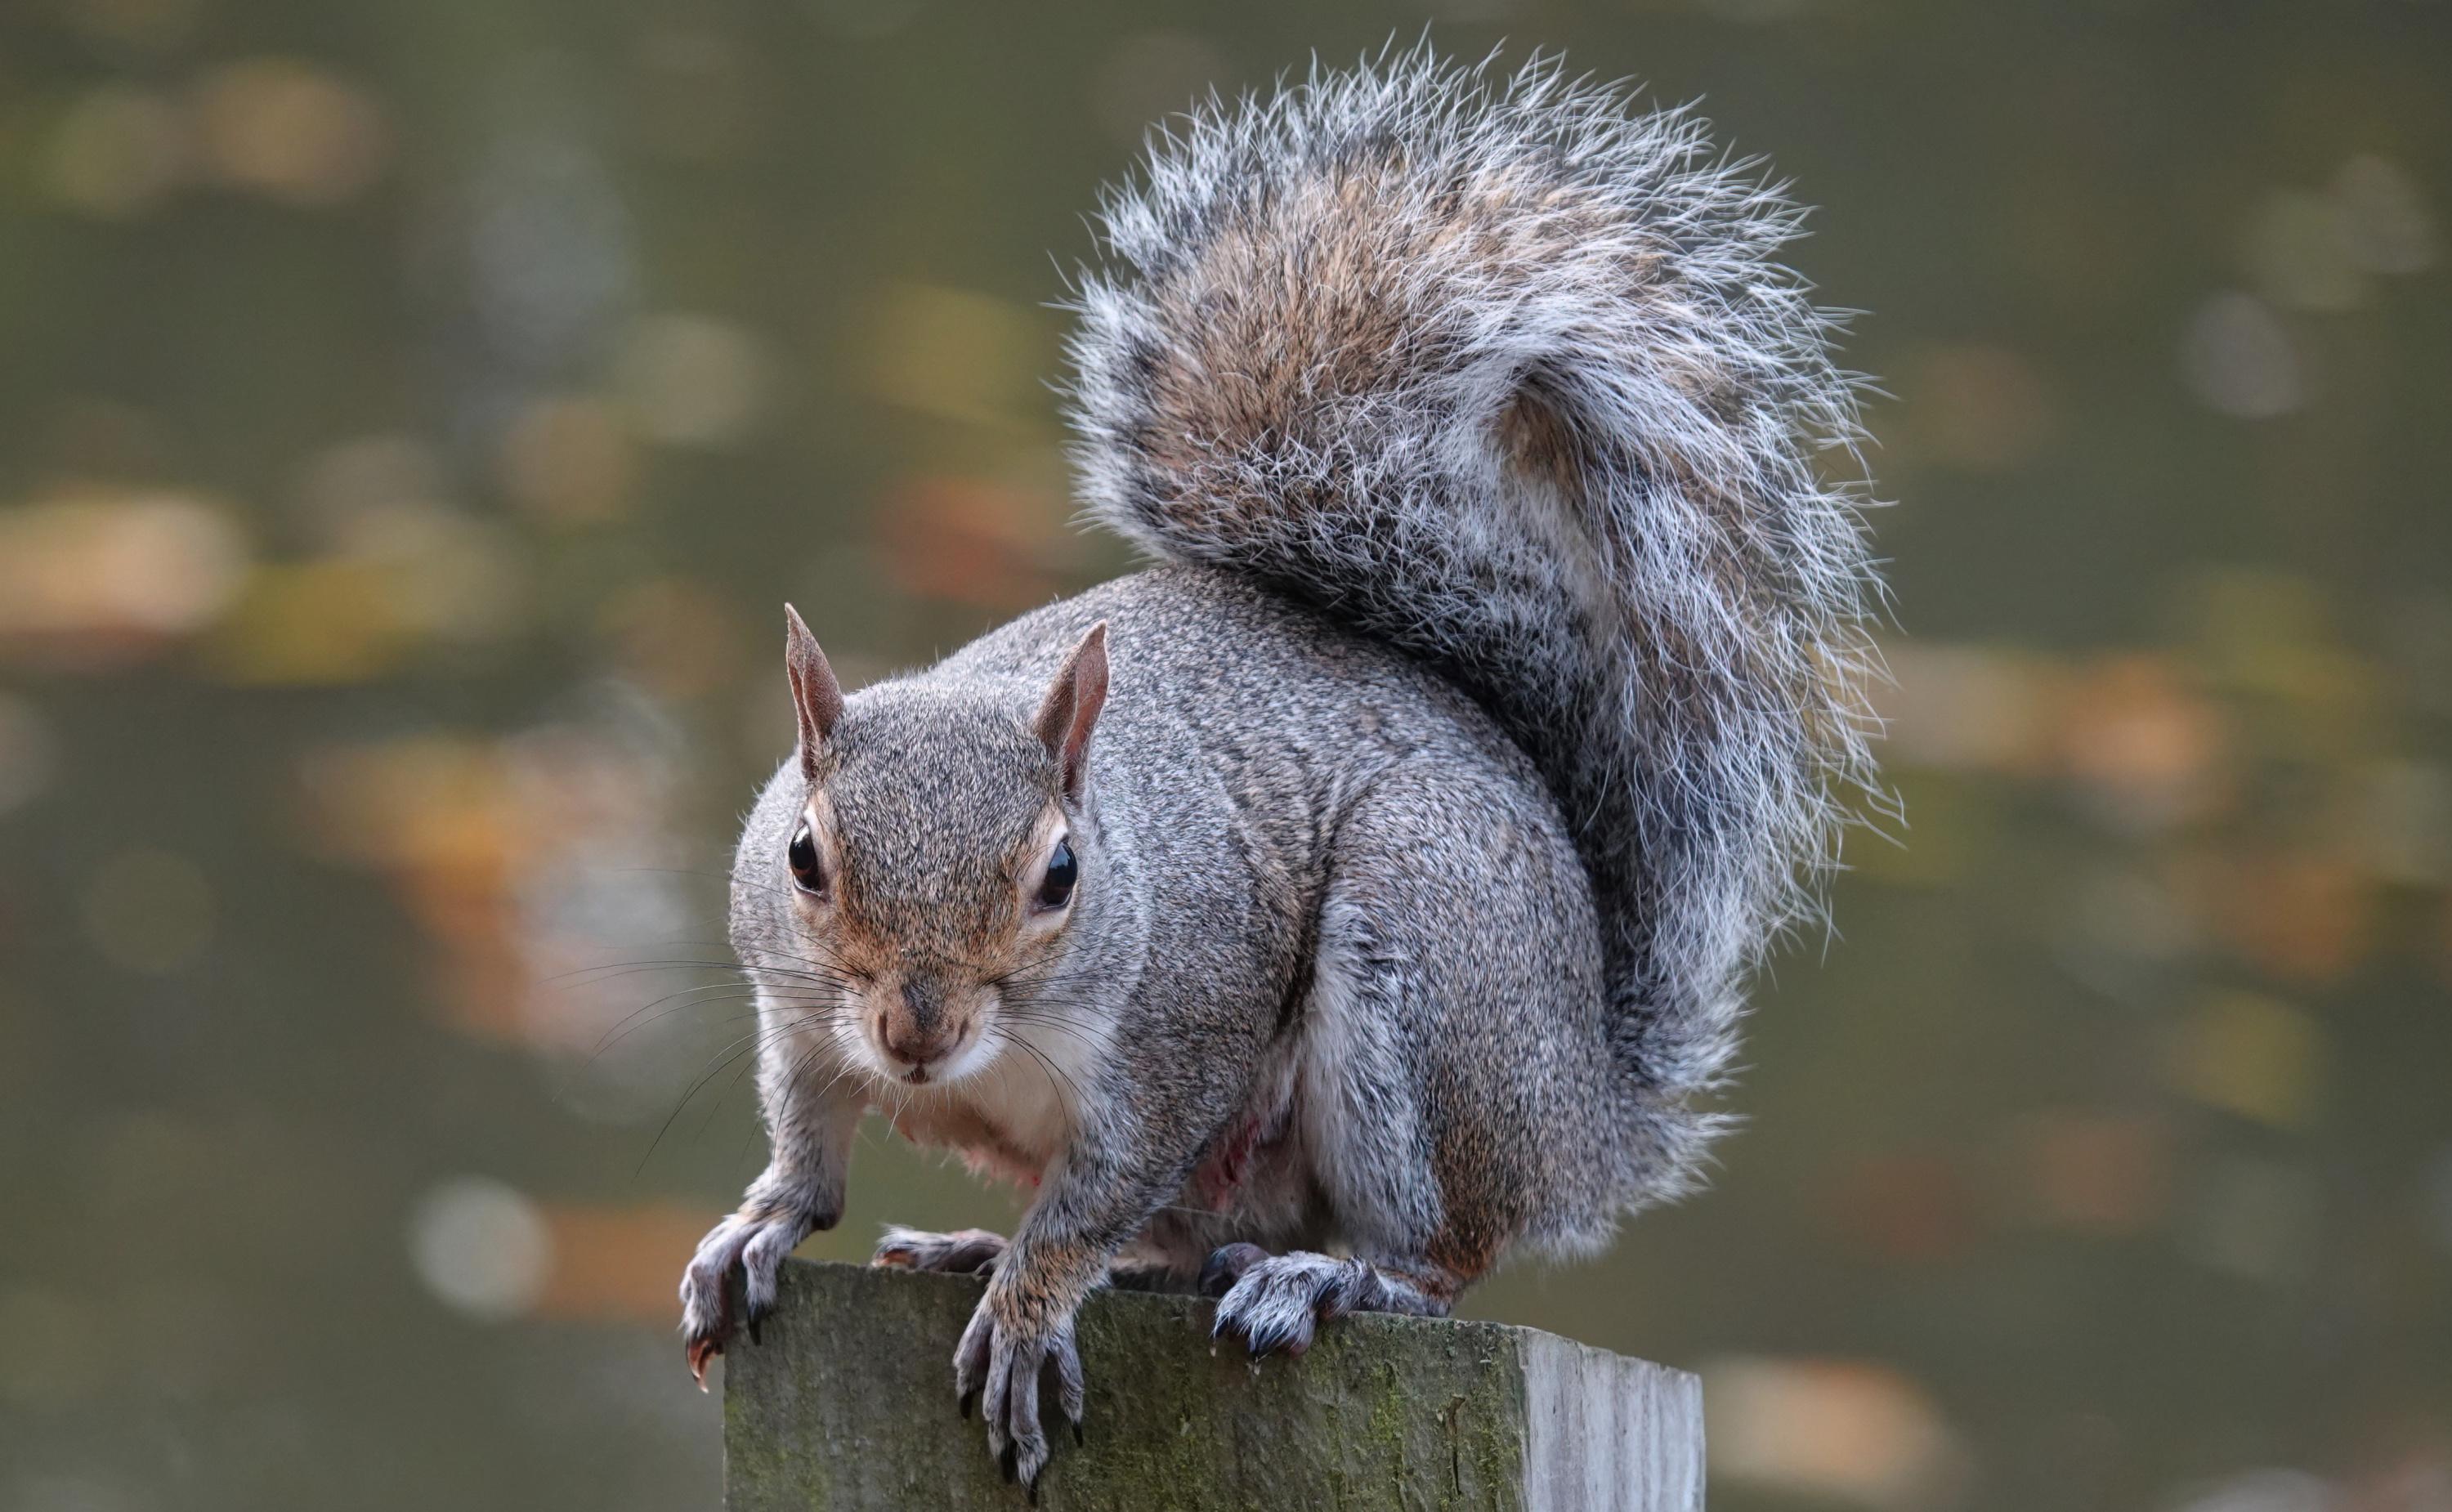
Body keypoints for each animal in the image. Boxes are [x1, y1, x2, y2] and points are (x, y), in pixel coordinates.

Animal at [682, 43, 1883, 1490]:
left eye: (1061, 875)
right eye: (804, 855)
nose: (917, 1030)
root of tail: (1589, 1116)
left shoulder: (1182, 1038)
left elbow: (1094, 1199)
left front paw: (1029, 1307)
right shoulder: (796, 1011)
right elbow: (809, 1142)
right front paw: (762, 1222)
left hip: (1428, 957)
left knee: (1438, 1252)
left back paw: (1326, 1275)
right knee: (1181, 1240)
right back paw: (989, 1243)